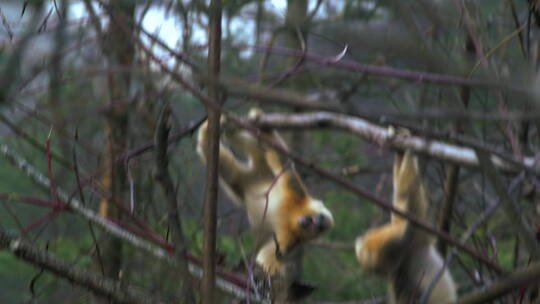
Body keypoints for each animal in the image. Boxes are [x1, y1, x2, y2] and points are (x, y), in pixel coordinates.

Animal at [198, 108, 334, 274]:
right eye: (317, 219)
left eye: (318, 227)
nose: (311, 222)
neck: (292, 216)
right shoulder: (296, 192)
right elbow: (284, 164)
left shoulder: (290, 241)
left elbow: (268, 257)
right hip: (261, 166)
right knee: (259, 144)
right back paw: (232, 127)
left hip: (241, 182)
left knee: (231, 174)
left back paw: (207, 138)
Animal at [356, 149, 458, 302]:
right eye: (377, 270)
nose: (382, 273)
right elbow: (407, 200)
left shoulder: (409, 240)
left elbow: (404, 200)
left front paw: (403, 151)